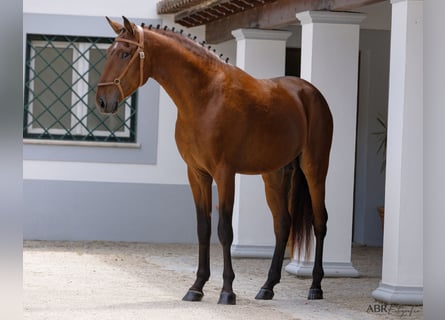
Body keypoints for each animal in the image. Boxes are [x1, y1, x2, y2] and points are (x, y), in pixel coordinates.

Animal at [97, 15, 332, 304]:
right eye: (109, 52)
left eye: (124, 53)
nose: (102, 101)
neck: (205, 97)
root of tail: (310, 93)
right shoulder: (197, 173)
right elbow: (203, 228)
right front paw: (196, 286)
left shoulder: (224, 173)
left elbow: (224, 231)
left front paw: (227, 290)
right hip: (274, 175)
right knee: (282, 224)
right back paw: (267, 286)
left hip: (315, 169)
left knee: (319, 222)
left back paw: (316, 286)